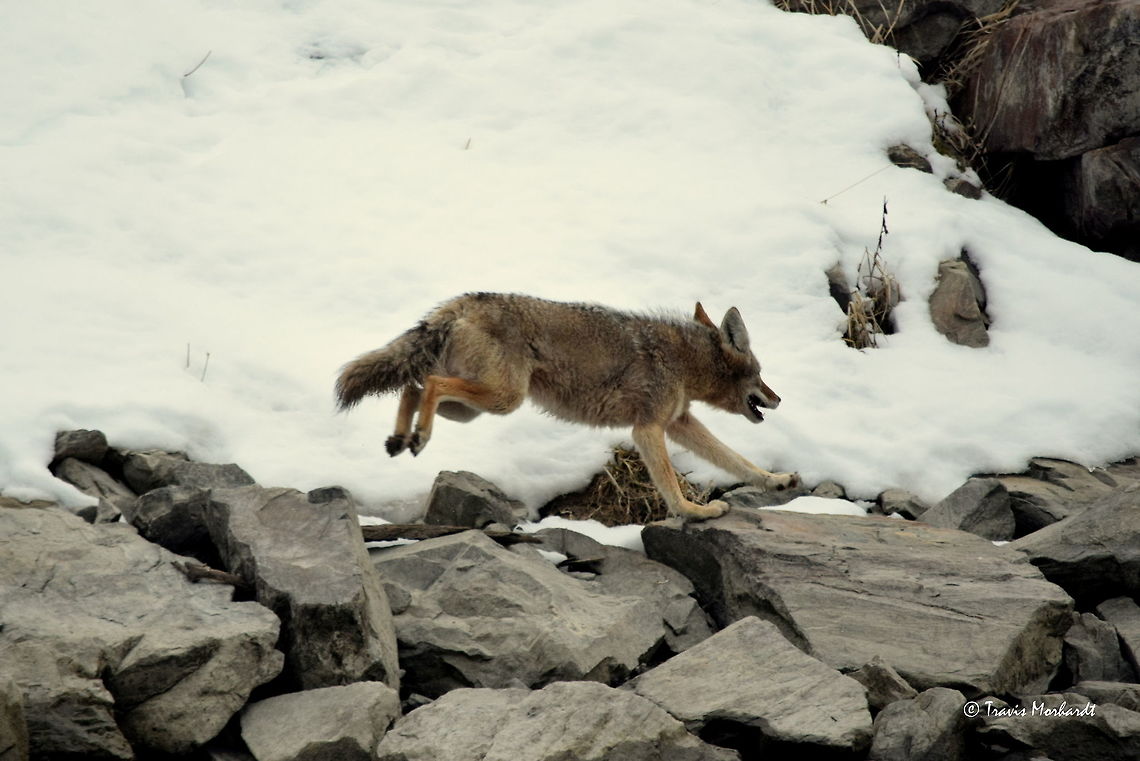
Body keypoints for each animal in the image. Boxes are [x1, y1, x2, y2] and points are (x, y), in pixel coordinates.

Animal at [336, 293, 799, 520]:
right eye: (761, 375)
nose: (778, 397)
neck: (684, 359)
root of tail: (463, 301)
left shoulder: (678, 423)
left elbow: (736, 459)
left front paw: (776, 481)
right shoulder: (648, 428)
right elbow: (669, 481)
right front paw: (693, 512)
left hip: (474, 408)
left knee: (412, 387)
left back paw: (402, 439)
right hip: (500, 401)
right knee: (427, 384)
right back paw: (417, 438)